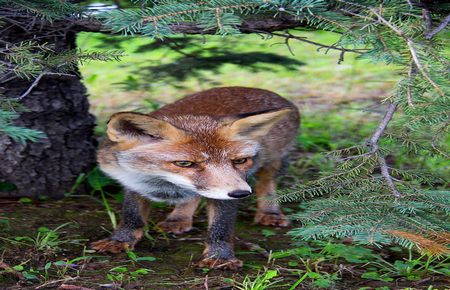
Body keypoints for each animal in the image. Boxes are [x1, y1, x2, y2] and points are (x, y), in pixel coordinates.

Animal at [92, 85, 298, 270]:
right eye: (185, 163)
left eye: (240, 161)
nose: (241, 193)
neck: (164, 184)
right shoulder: (132, 180)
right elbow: (131, 215)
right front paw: (119, 240)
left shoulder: (231, 188)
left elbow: (221, 227)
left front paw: (220, 257)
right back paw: (179, 218)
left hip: (272, 162)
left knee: (267, 183)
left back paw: (270, 212)